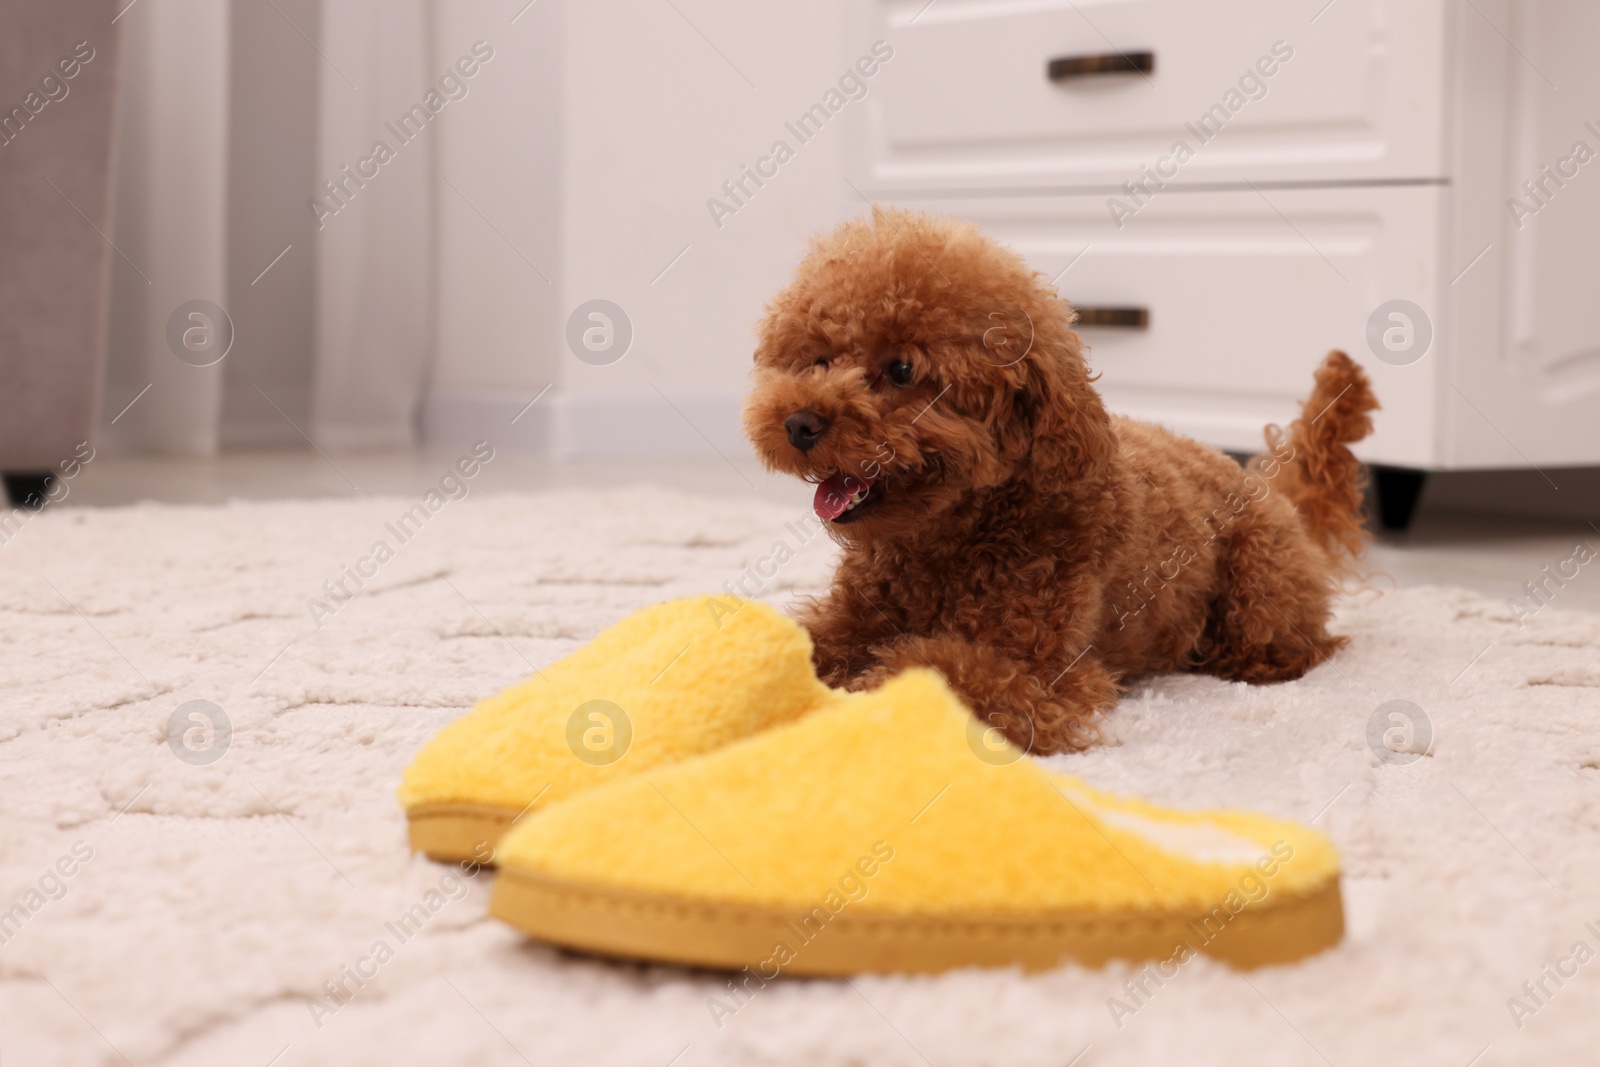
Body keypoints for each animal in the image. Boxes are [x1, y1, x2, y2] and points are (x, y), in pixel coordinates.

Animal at [742, 207, 1382, 755]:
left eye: (902, 369)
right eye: (818, 360)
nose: (797, 422)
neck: (947, 542)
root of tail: (1265, 488)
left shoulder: (1039, 677)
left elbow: (929, 671)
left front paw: (850, 702)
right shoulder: (853, 617)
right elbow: (804, 640)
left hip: (1258, 587)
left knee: (1292, 642)